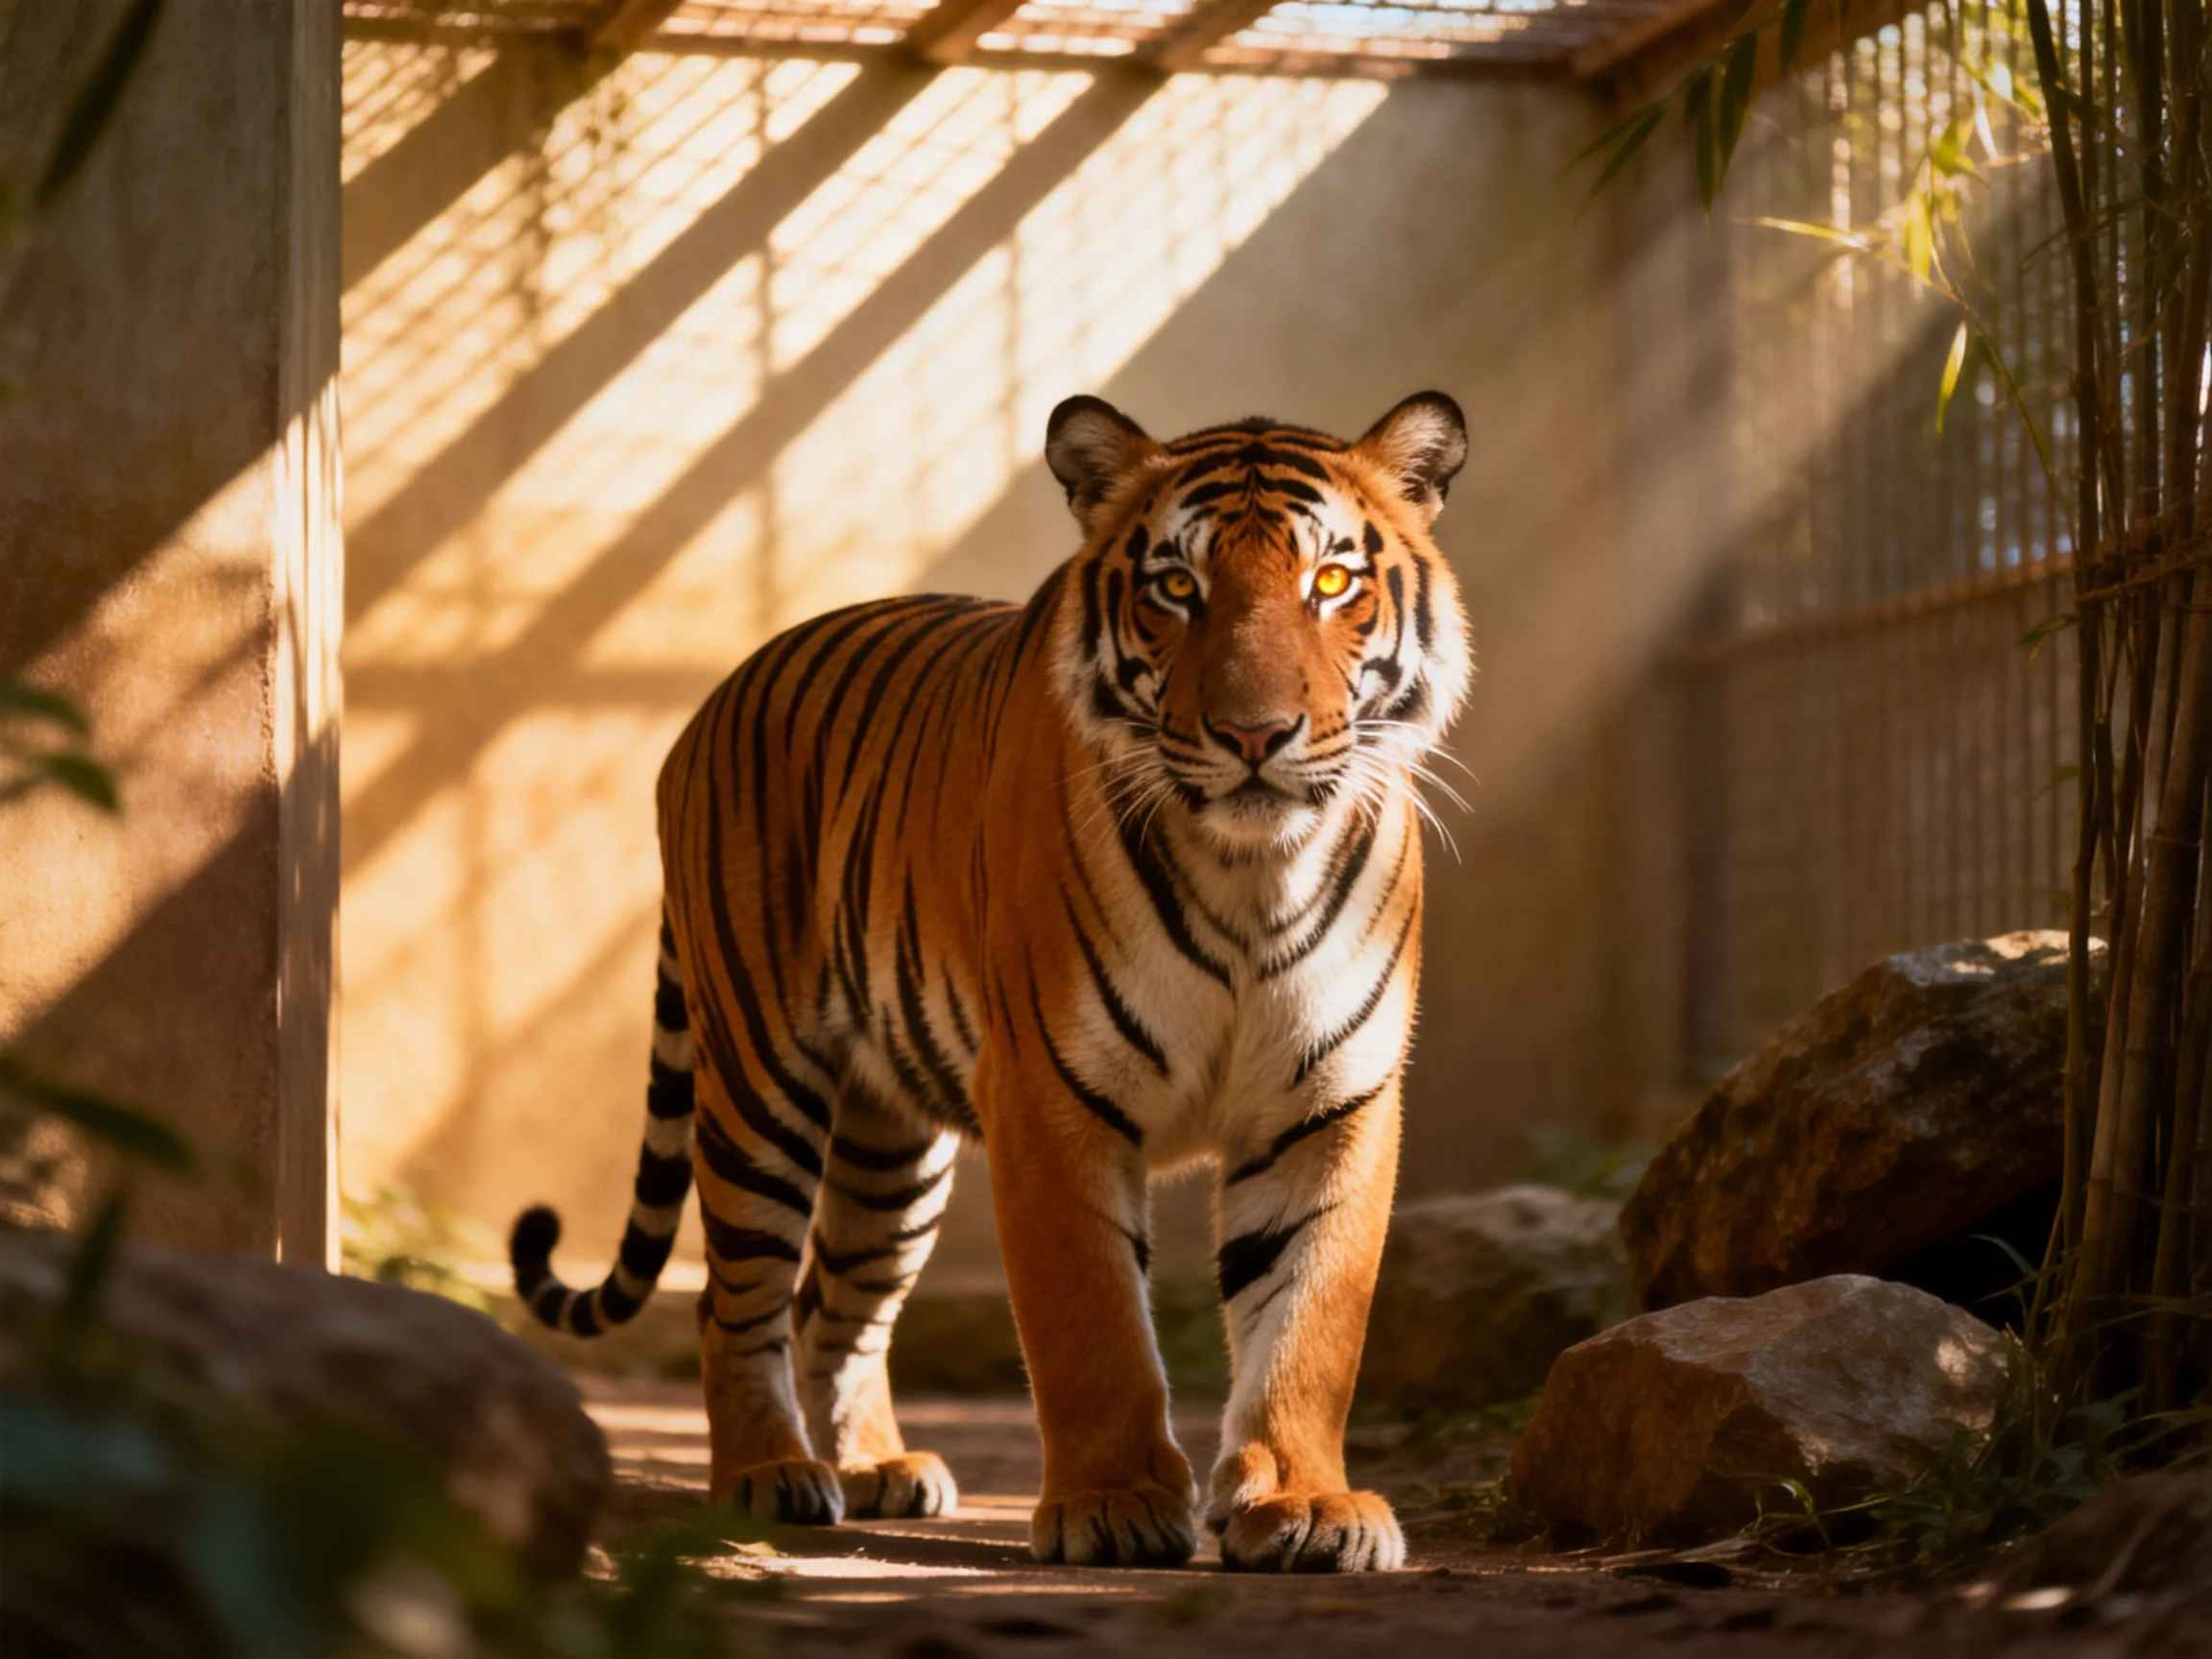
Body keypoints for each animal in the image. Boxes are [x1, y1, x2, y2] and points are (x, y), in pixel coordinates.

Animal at [510, 390, 1473, 1573]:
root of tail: (720, 692)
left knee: (839, 1302)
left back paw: (873, 1468)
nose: (1255, 735)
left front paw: (1305, 1504)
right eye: (1176, 588)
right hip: (758, 1085)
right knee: (736, 1296)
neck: (1252, 874)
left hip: (890, 1145)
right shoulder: (1053, 1093)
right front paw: (1112, 1505)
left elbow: (1311, 1316)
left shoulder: (1332, 1101)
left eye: (1331, 581)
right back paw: (766, 1475)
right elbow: (1090, 1317)